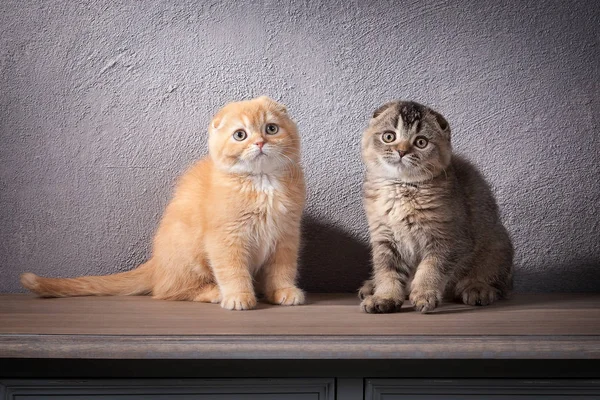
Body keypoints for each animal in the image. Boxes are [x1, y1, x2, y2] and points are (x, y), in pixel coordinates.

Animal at [21, 95, 308, 310]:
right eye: (240, 135)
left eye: (271, 128)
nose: (259, 142)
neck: (262, 181)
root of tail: (156, 262)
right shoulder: (226, 237)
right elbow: (232, 269)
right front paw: (238, 296)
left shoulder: (286, 235)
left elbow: (282, 268)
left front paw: (283, 291)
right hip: (187, 251)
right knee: (166, 291)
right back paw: (214, 292)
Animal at [358, 100, 512, 312]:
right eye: (389, 136)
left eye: (421, 142)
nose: (402, 151)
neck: (402, 187)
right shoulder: (384, 237)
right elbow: (387, 271)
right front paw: (384, 297)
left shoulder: (449, 239)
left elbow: (432, 268)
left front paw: (424, 294)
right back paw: (371, 286)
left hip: (497, 244)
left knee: (496, 281)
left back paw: (478, 288)